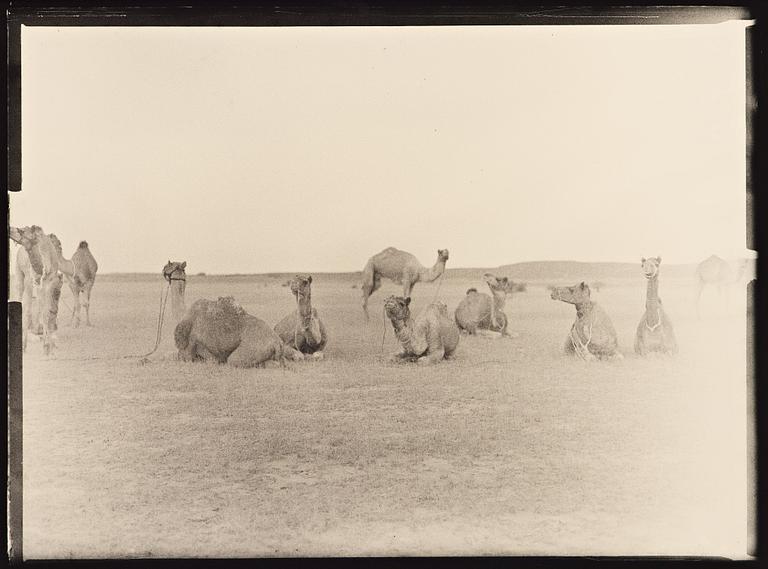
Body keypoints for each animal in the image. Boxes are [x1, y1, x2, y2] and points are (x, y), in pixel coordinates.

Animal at [10, 224, 61, 352]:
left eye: (22, 231)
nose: (10, 228)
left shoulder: (49, 282)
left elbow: (45, 311)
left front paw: (47, 346)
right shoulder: (30, 279)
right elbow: (28, 310)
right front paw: (24, 346)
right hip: (19, 273)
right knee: (19, 296)